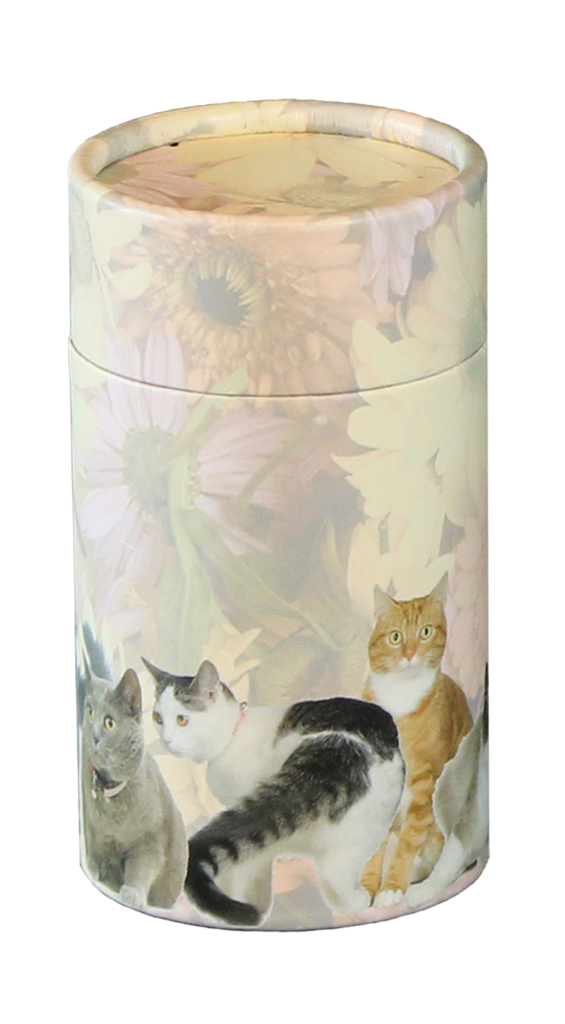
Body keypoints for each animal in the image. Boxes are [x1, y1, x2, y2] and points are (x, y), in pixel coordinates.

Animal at [80, 634, 188, 911]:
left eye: (110, 722)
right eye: (89, 712)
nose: (94, 736)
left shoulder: (151, 838)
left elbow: (143, 866)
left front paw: (133, 893)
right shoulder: (93, 825)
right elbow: (96, 844)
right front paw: (94, 866)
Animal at [143, 657, 406, 927]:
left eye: (182, 720)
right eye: (158, 718)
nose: (165, 741)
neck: (233, 734)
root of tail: (339, 751)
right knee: (333, 873)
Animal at [361, 574, 473, 907]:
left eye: (425, 632)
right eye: (396, 637)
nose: (410, 653)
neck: (400, 697)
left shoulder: (425, 785)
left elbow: (408, 841)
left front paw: (391, 887)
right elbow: (376, 845)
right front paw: (367, 887)